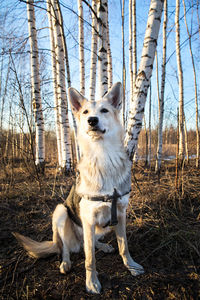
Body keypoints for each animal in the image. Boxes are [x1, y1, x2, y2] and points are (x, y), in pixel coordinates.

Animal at [13, 83, 144, 294]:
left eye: (104, 110)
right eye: (85, 112)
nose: (92, 120)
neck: (104, 158)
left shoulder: (120, 213)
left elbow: (124, 246)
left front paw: (130, 266)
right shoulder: (88, 218)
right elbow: (90, 258)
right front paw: (91, 282)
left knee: (88, 242)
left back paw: (102, 246)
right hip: (60, 212)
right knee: (66, 248)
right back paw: (65, 263)